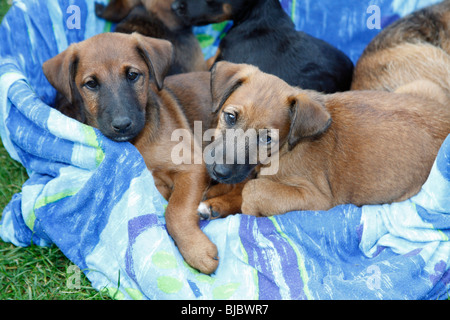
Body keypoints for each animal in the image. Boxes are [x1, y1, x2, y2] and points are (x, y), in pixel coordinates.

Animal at [43, 33, 221, 276]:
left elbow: (175, 210)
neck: (137, 142)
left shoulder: (193, 166)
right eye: (91, 84)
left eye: (132, 75)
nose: (122, 125)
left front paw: (196, 250)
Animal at [199, 61, 450, 218]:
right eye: (230, 117)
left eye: (267, 138)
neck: (287, 148)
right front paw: (216, 197)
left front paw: (236, 206)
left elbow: (251, 189)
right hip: (421, 86)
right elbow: (245, 181)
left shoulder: (316, 198)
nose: (219, 171)